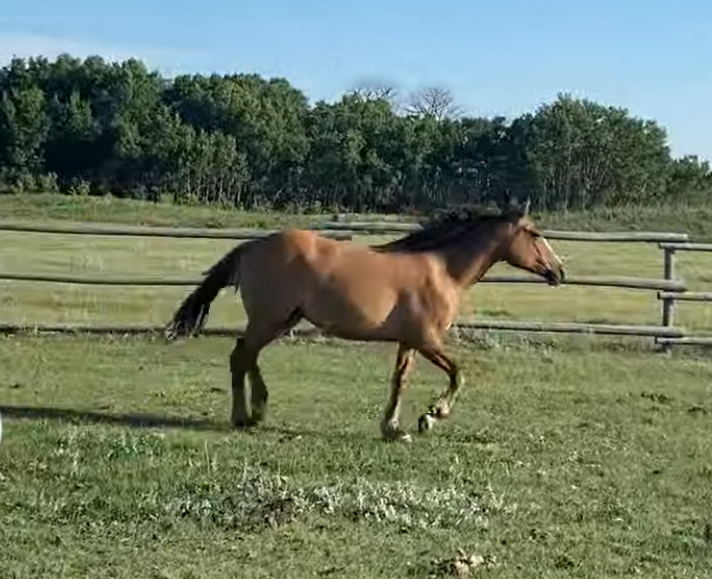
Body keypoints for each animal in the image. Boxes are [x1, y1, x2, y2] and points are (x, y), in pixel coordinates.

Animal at [164, 204, 565, 441]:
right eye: (535, 234)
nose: (559, 271)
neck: (442, 270)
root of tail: (252, 246)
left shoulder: (409, 342)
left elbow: (399, 382)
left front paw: (394, 428)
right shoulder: (428, 340)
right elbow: (458, 374)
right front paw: (433, 415)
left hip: (279, 321)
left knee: (247, 356)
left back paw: (257, 411)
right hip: (269, 319)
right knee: (241, 356)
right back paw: (244, 416)